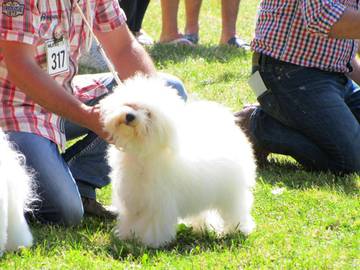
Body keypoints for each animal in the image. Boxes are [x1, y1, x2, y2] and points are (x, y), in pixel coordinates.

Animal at [100, 75, 258, 247]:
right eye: (130, 105)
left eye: (148, 114)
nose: (130, 116)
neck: (141, 152)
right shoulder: (133, 200)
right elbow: (130, 219)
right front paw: (127, 236)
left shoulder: (159, 202)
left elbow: (153, 224)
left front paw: (151, 242)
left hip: (231, 192)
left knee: (236, 209)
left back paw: (238, 229)